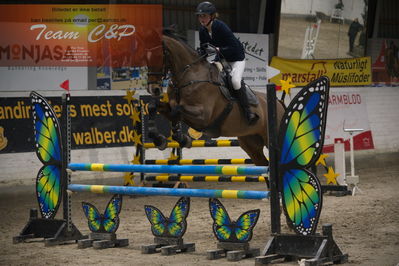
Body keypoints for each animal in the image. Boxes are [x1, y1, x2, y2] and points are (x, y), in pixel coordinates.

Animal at [145, 29, 286, 166]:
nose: (153, 89)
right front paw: (160, 139)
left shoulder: (203, 116)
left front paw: (181, 138)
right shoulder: (172, 105)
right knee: (263, 163)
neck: (188, 75)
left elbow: (177, 111)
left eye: (158, 57)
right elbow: (154, 106)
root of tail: (279, 103)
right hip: (250, 142)